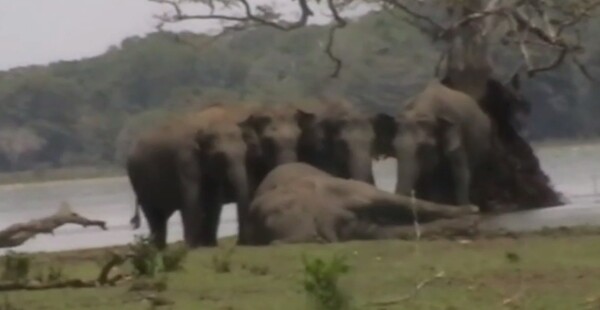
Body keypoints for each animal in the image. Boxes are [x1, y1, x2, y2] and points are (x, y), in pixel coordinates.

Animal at [127, 105, 252, 248]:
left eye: (246, 152)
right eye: (220, 157)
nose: (241, 242)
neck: (206, 123)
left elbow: (214, 199)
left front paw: (209, 245)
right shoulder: (185, 159)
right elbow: (192, 197)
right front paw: (192, 246)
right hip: (138, 181)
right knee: (153, 214)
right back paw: (157, 247)